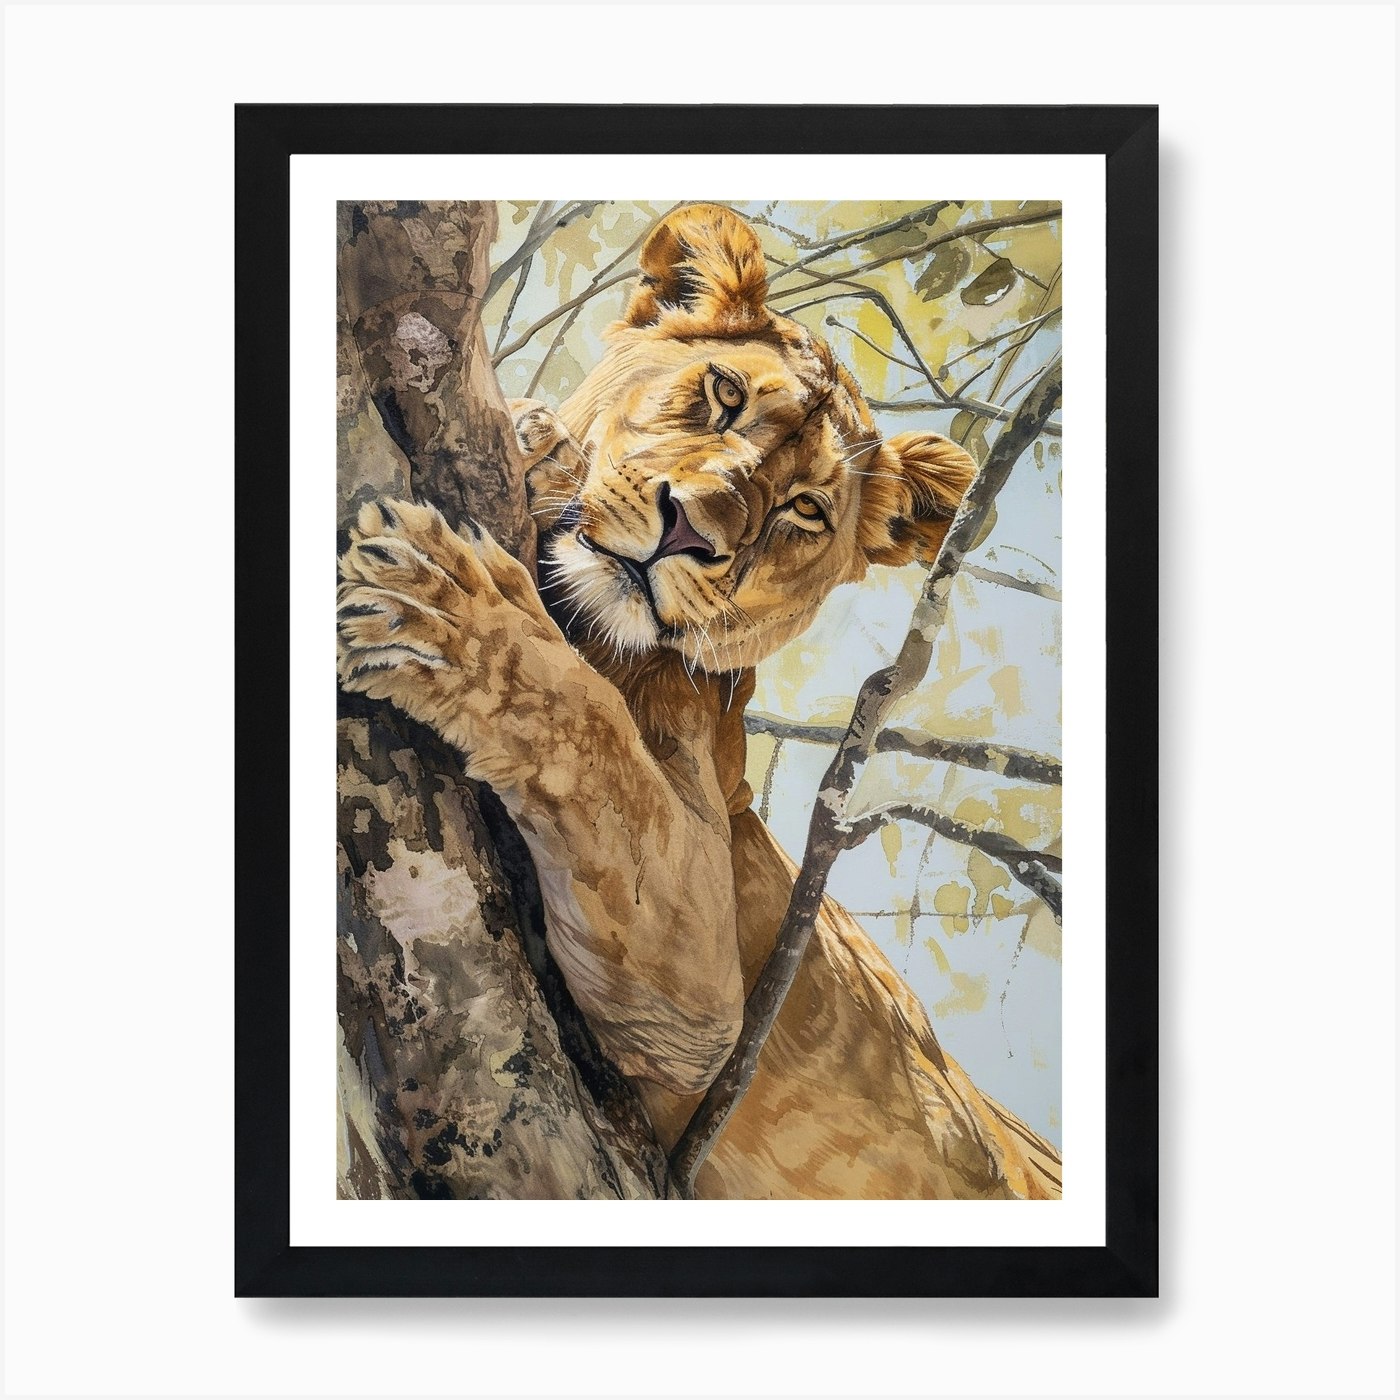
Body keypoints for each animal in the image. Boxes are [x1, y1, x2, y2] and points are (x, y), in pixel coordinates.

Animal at [336, 204, 1062, 1200]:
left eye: (805, 510)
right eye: (723, 393)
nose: (688, 529)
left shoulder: (700, 1006)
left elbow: (590, 731)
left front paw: (441, 607)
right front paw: (536, 439)